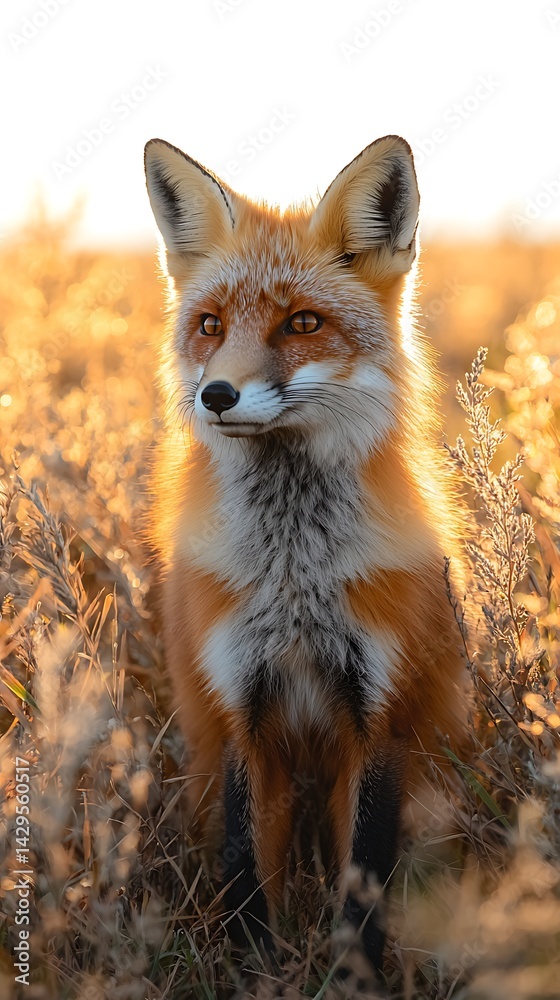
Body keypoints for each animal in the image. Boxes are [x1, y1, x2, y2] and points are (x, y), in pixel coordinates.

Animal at [144, 134, 468, 976]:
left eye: (302, 322)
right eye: (210, 325)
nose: (216, 396)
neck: (295, 578)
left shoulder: (382, 715)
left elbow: (365, 876)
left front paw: (354, 978)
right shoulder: (237, 712)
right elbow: (242, 867)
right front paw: (255, 972)